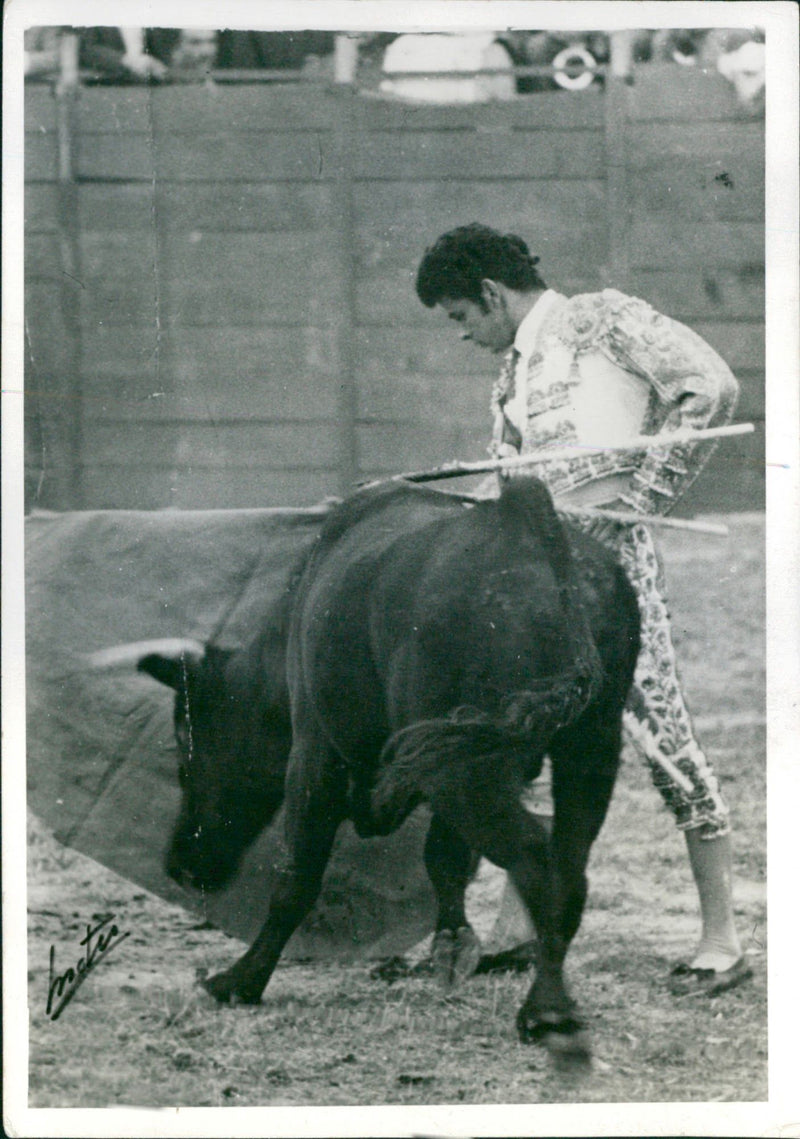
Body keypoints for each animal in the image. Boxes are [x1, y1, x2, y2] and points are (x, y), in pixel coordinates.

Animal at [137, 480, 638, 1056]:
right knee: (570, 866)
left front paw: (239, 981)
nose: (179, 865)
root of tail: (532, 532)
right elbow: (443, 856)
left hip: (467, 772)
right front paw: (451, 946)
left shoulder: (315, 754)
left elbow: (297, 874)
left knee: (535, 857)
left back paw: (545, 1010)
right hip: (587, 748)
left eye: (184, 738)